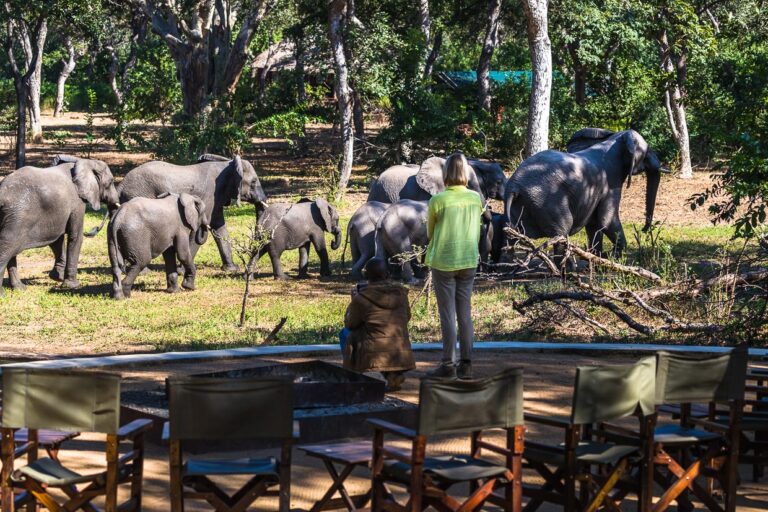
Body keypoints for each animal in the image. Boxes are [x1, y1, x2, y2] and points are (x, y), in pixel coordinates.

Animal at [0, 155, 119, 296]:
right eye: (111, 182)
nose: (92, 230)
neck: (83, 162)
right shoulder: (77, 202)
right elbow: (75, 237)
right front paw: (72, 285)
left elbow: (57, 240)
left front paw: (57, 277)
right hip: (18, 216)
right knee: (8, 246)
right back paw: (3, 294)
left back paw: (20, 288)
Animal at [115, 154, 267, 272]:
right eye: (254, 182)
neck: (228, 164)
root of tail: (120, 185)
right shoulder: (210, 196)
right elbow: (200, 229)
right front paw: (182, 271)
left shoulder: (217, 199)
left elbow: (219, 227)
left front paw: (231, 269)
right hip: (136, 195)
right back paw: (144, 271)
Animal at [504, 128, 663, 258]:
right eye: (647, 152)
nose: (644, 229)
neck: (613, 139)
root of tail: (514, 187)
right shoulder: (611, 182)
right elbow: (607, 220)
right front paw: (612, 257)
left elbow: (594, 224)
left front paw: (598, 258)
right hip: (547, 202)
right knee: (562, 233)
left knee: (511, 235)